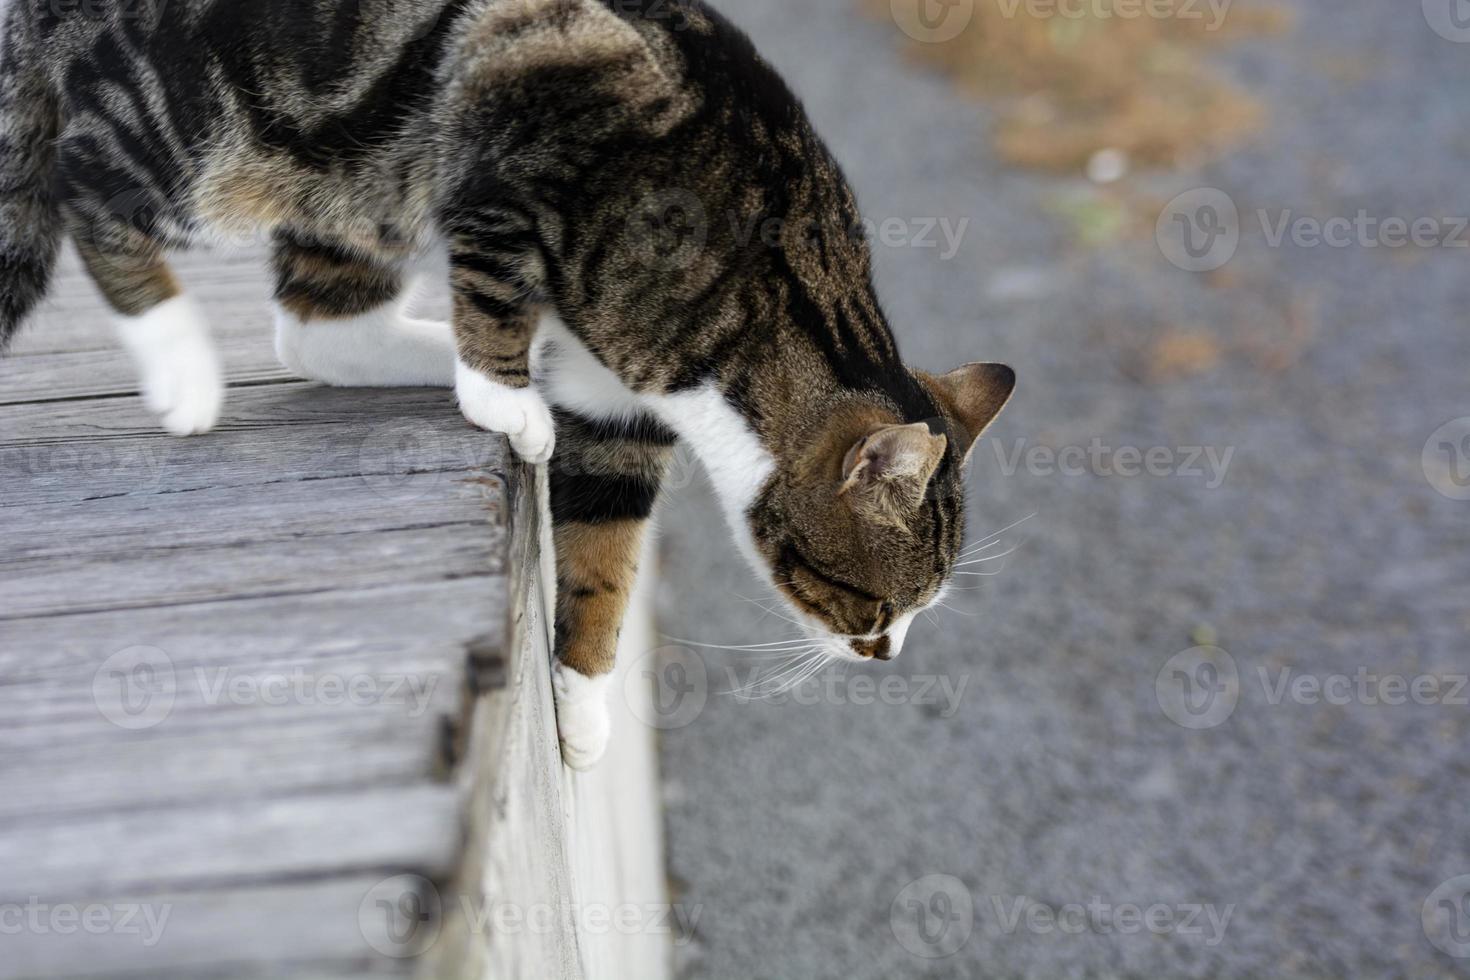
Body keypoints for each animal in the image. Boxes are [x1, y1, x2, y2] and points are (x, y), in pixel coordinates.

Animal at [0, 0, 1011, 764]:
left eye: (917, 611)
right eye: (877, 604)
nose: (885, 656)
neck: (754, 307)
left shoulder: (622, 416)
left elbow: (604, 561)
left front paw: (583, 705)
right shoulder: (517, 102)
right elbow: (495, 265)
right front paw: (499, 393)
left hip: (347, 175)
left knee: (313, 327)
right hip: (213, 118)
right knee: (86, 172)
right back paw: (184, 364)